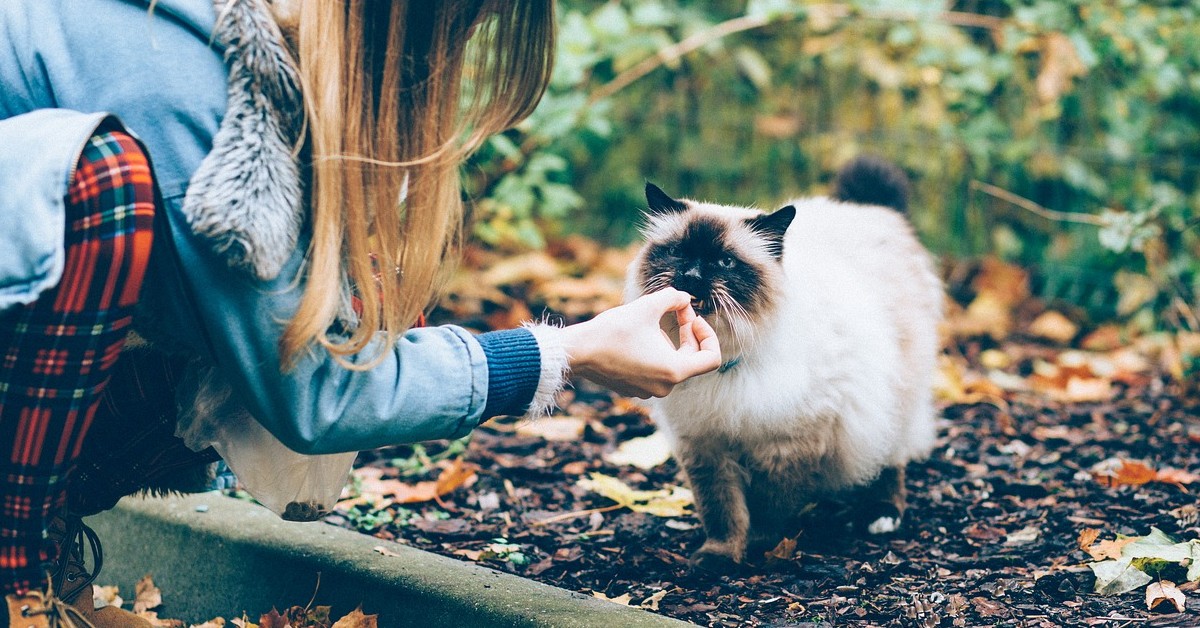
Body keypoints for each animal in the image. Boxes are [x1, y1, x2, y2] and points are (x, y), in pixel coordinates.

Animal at [628, 156, 945, 569]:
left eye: (725, 262)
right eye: (679, 254)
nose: (692, 277)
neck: (725, 361)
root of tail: (871, 210)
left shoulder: (784, 447)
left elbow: (768, 509)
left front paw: (760, 550)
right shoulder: (705, 447)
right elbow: (722, 512)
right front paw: (719, 558)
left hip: (892, 403)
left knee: (890, 461)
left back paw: (881, 517)